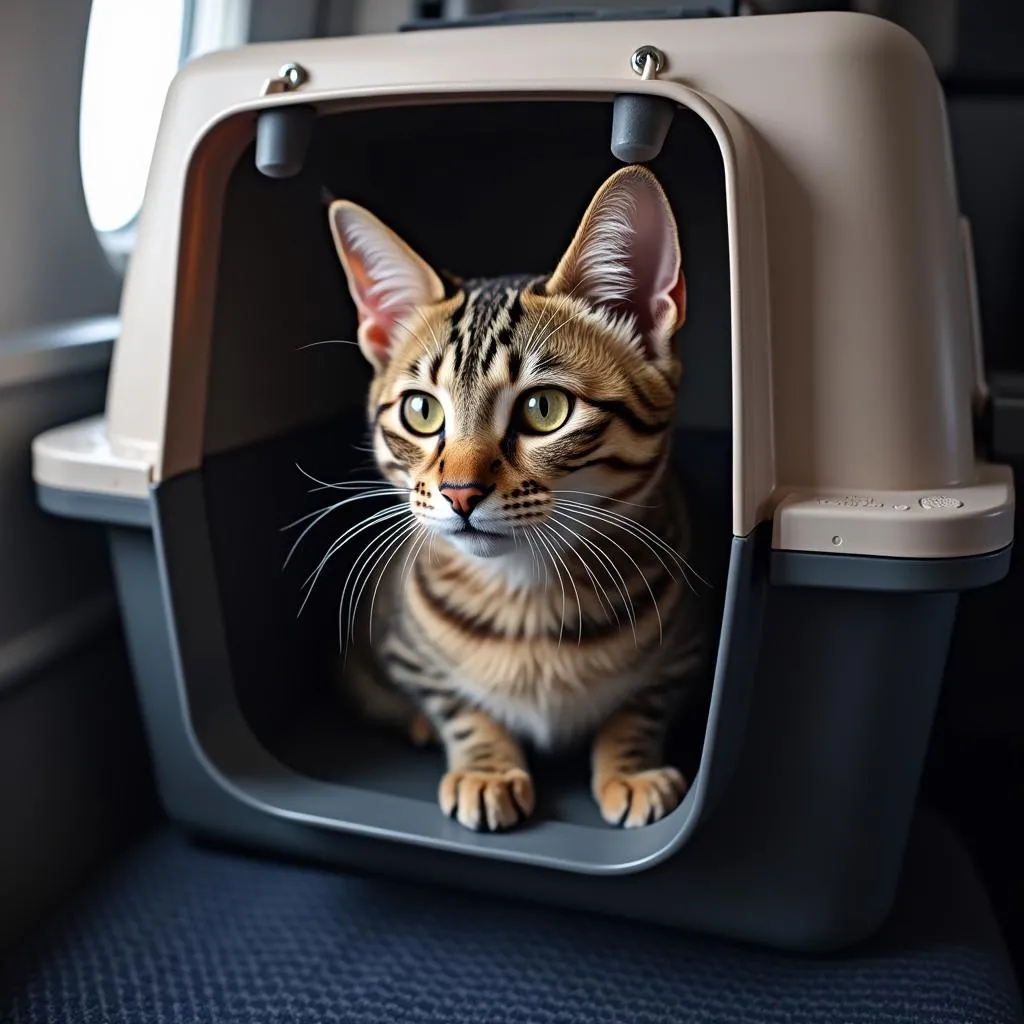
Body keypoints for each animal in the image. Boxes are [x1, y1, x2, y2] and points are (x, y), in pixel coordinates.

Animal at [325, 165, 704, 831]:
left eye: (543, 408)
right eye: (421, 411)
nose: (459, 492)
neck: (525, 597)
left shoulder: (685, 652)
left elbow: (641, 707)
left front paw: (631, 769)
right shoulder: (406, 652)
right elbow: (457, 705)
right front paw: (486, 767)